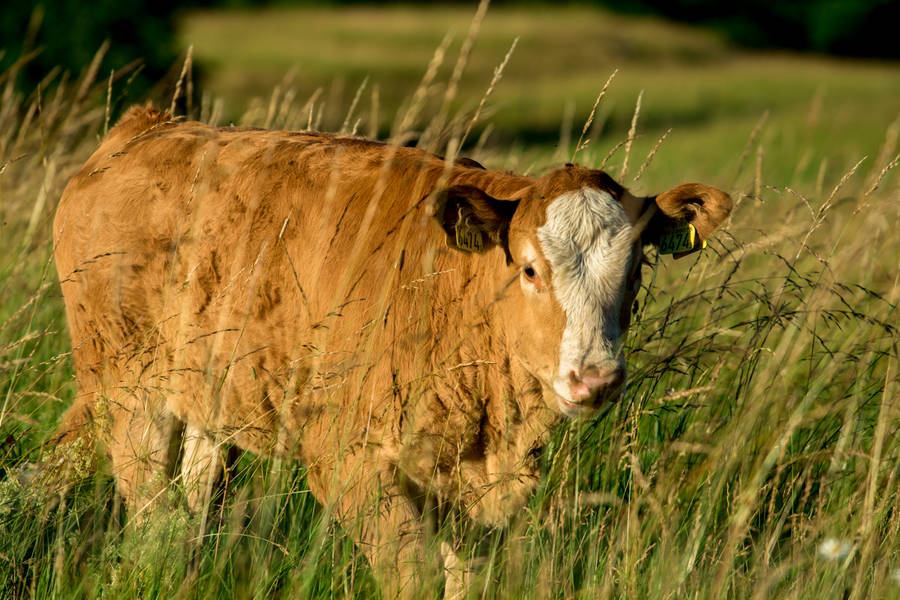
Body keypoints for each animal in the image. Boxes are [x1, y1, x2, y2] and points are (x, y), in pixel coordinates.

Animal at [50, 105, 731, 597]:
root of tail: (148, 126)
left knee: (192, 513)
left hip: (211, 396)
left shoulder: (476, 484)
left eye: (635, 272)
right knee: (154, 518)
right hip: (128, 389)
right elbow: (414, 576)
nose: (595, 379)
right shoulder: (351, 459)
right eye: (530, 270)